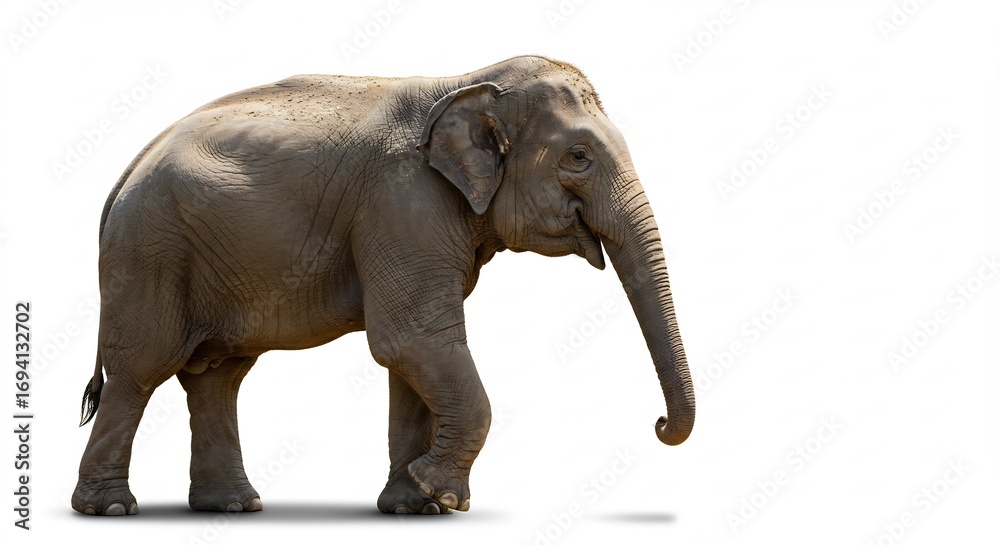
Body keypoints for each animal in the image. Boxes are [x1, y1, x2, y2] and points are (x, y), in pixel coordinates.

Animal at [73, 55, 695, 516]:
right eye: (579, 156)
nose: (660, 424)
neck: (468, 79)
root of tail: (127, 170)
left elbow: (412, 356)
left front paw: (415, 505)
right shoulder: (402, 203)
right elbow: (413, 341)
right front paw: (435, 490)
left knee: (218, 376)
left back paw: (232, 506)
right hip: (149, 252)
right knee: (141, 370)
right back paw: (110, 509)